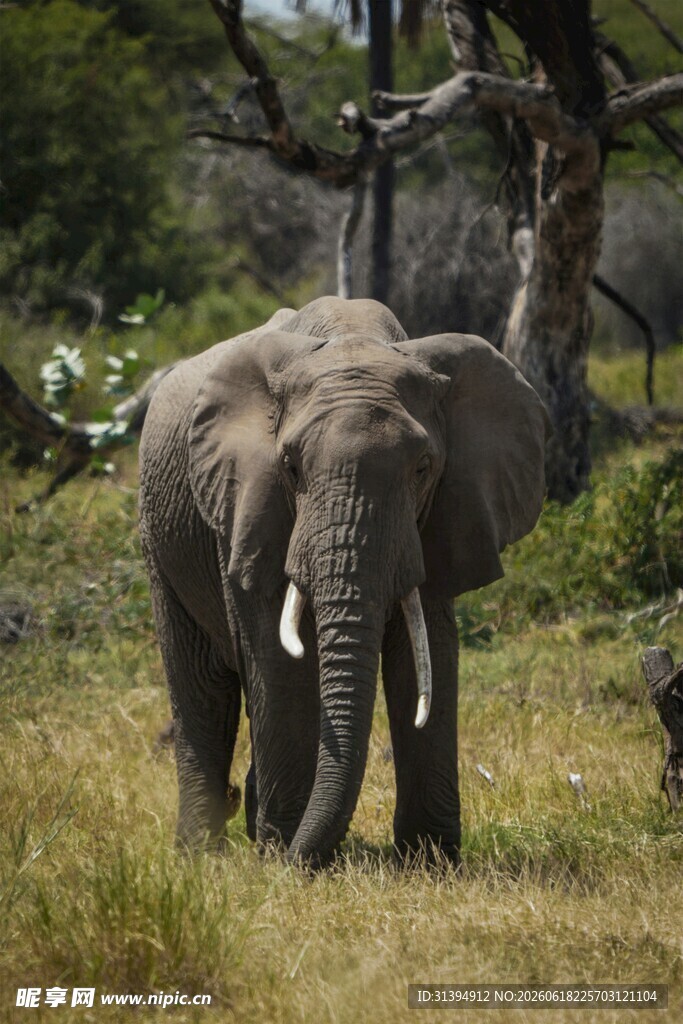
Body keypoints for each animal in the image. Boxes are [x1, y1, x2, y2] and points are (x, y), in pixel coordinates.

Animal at [139, 297, 549, 867]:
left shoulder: (441, 515)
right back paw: (202, 855)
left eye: (423, 467)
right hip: (160, 538)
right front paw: (282, 855)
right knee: (202, 688)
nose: (298, 861)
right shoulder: (247, 506)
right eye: (290, 467)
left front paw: (431, 863)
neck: (354, 337)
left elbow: (426, 653)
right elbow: (276, 657)